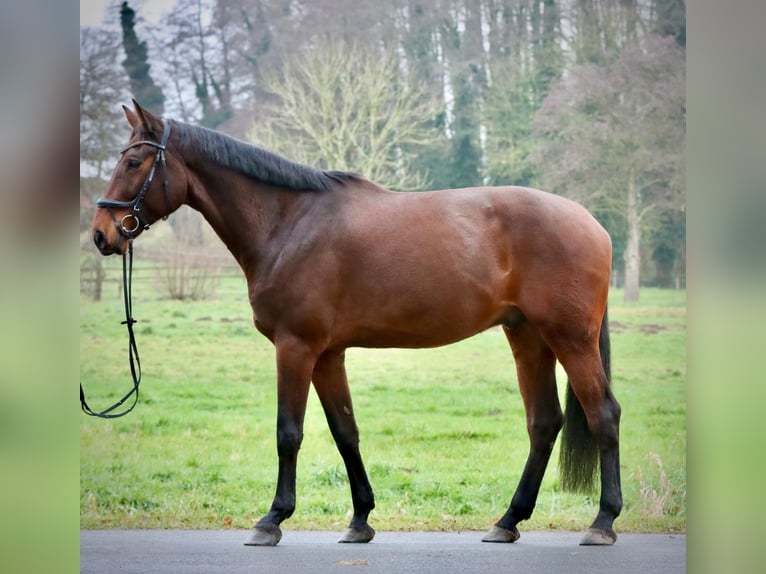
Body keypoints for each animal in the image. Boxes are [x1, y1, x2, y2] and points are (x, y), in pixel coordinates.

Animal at [93, 102, 620, 548]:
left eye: (134, 163)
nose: (101, 234)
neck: (288, 223)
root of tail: (592, 222)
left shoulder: (295, 347)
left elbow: (289, 432)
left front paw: (272, 520)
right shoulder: (327, 354)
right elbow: (345, 432)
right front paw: (361, 519)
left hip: (570, 340)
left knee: (603, 415)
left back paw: (602, 522)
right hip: (527, 336)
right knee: (544, 422)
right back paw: (508, 521)